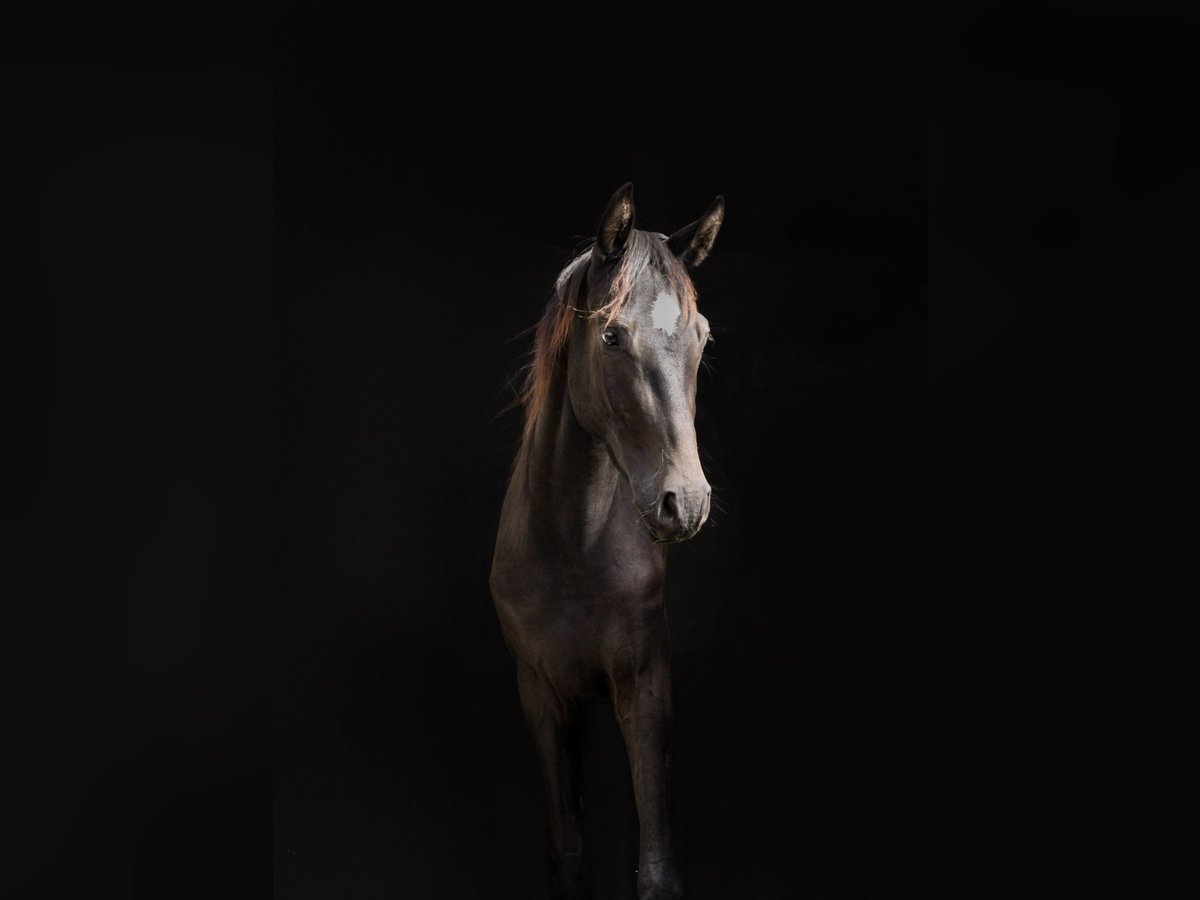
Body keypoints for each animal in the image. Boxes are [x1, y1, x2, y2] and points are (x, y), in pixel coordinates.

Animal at [490, 183, 724, 899]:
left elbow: (656, 868)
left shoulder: (645, 686)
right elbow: (569, 854)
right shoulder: (541, 695)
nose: (687, 501)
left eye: (702, 336)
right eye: (613, 335)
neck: (572, 552)